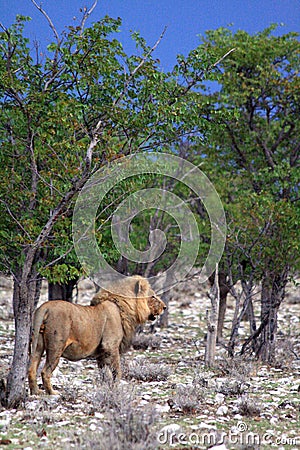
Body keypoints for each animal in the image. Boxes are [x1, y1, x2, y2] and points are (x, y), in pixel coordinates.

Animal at [28, 274, 165, 394]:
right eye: (153, 296)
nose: (164, 307)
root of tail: (44, 307)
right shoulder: (110, 345)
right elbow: (117, 371)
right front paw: (116, 389)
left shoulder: (101, 353)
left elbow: (104, 374)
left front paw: (105, 388)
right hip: (56, 346)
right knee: (45, 371)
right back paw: (52, 392)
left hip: (38, 345)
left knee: (31, 369)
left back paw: (36, 392)